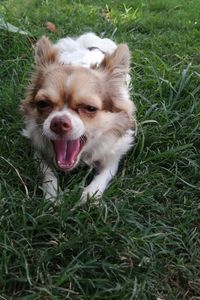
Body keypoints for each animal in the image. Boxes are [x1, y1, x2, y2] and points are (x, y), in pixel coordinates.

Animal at [20, 32, 136, 203]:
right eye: (43, 104)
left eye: (90, 108)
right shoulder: (38, 150)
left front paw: (90, 195)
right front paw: (52, 197)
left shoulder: (113, 155)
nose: (59, 122)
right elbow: (48, 174)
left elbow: (104, 175)